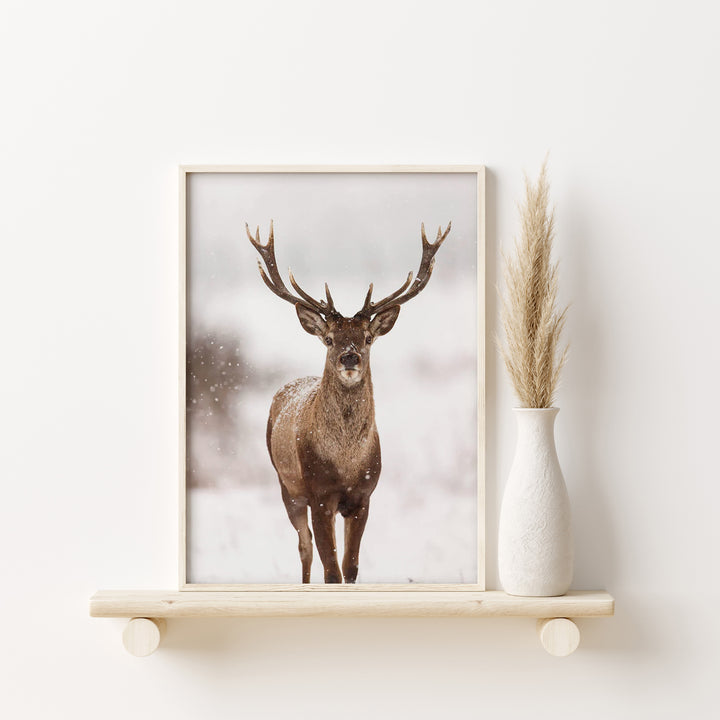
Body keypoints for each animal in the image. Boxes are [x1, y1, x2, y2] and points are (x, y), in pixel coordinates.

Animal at [246, 219, 451, 583]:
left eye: (367, 338)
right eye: (329, 339)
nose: (349, 357)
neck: (346, 462)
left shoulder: (363, 497)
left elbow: (350, 567)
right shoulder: (319, 495)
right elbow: (331, 571)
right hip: (286, 485)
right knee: (304, 548)